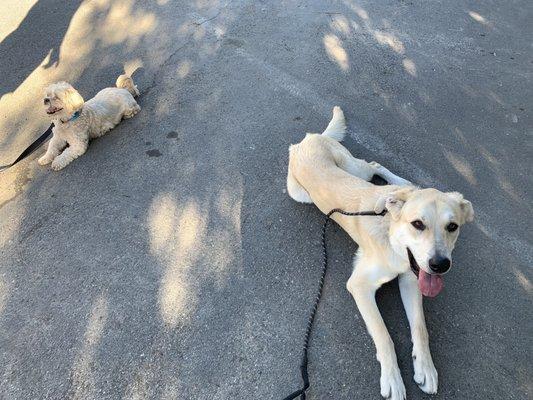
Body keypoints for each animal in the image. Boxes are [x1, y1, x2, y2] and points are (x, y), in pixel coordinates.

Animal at [286, 107, 474, 400]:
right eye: (417, 224)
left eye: (452, 226)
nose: (440, 264)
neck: (393, 241)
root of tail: (307, 139)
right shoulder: (359, 286)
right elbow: (384, 335)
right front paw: (393, 379)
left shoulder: (412, 279)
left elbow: (420, 328)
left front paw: (425, 368)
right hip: (306, 191)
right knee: (373, 165)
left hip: (355, 170)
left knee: (376, 166)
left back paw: (403, 183)